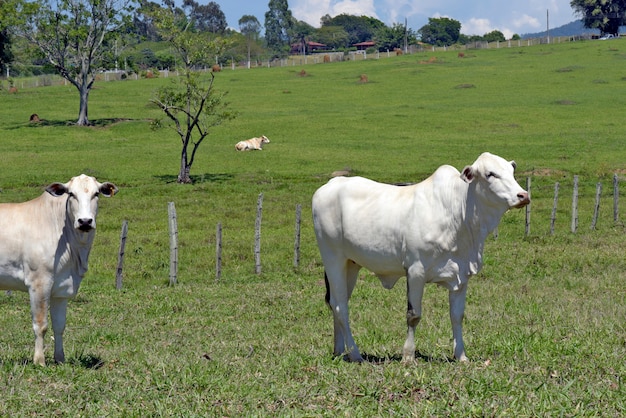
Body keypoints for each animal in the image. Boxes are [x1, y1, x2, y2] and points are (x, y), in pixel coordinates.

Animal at [0, 175, 118, 364]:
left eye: (96, 193)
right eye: (71, 194)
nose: (85, 221)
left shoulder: (61, 289)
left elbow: (59, 325)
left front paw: (60, 359)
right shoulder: (39, 283)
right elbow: (41, 325)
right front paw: (39, 361)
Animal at [312, 153, 528, 362]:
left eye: (512, 171)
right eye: (490, 174)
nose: (523, 195)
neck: (458, 213)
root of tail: (328, 186)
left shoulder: (461, 274)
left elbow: (457, 316)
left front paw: (461, 356)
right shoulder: (416, 271)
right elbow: (413, 315)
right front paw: (408, 356)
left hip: (351, 264)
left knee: (337, 303)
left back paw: (340, 350)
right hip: (333, 259)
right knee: (340, 306)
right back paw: (355, 354)